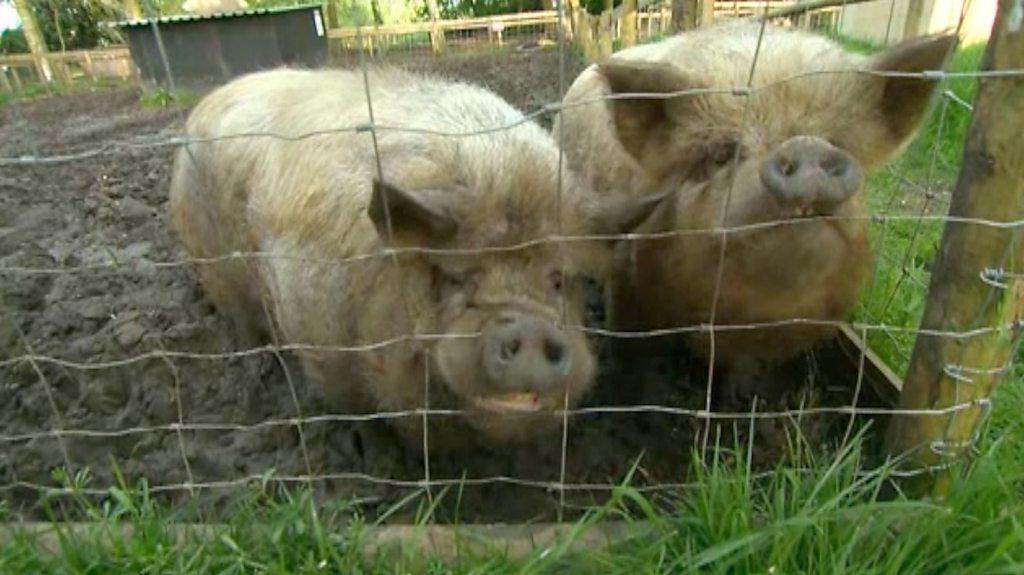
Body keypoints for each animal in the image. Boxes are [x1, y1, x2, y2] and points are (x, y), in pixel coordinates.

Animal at [168, 67, 659, 450]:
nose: (531, 327)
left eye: (559, 279)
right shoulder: (318, 334)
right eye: (457, 277)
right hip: (213, 264)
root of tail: (204, 104)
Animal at [557, 23, 954, 399]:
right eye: (722, 153)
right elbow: (632, 358)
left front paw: (741, 399)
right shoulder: (627, 286)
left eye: (838, 143)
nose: (806, 146)